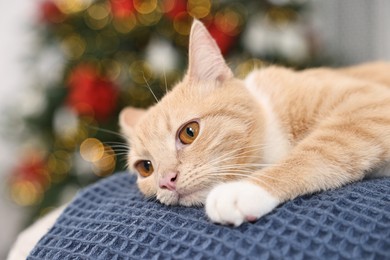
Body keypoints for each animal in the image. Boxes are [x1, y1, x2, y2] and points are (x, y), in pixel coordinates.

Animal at [119, 19, 390, 225]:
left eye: (189, 132)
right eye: (145, 167)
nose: (166, 181)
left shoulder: (369, 105)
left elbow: (318, 150)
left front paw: (245, 189)